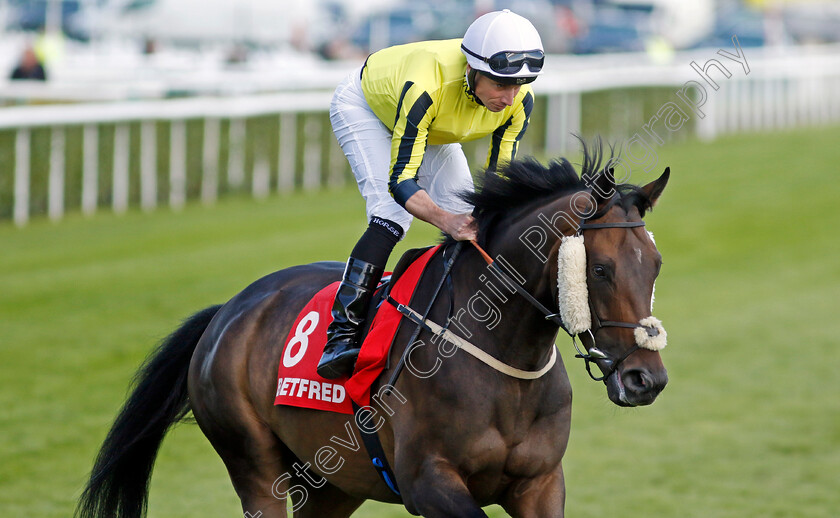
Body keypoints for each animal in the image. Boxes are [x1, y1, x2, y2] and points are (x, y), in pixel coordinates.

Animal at [79, 143, 668, 518]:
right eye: (600, 270)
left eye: (656, 264)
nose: (647, 380)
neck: (502, 360)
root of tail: (228, 312)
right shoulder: (428, 483)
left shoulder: (540, 483)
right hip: (253, 463)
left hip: (331, 482)